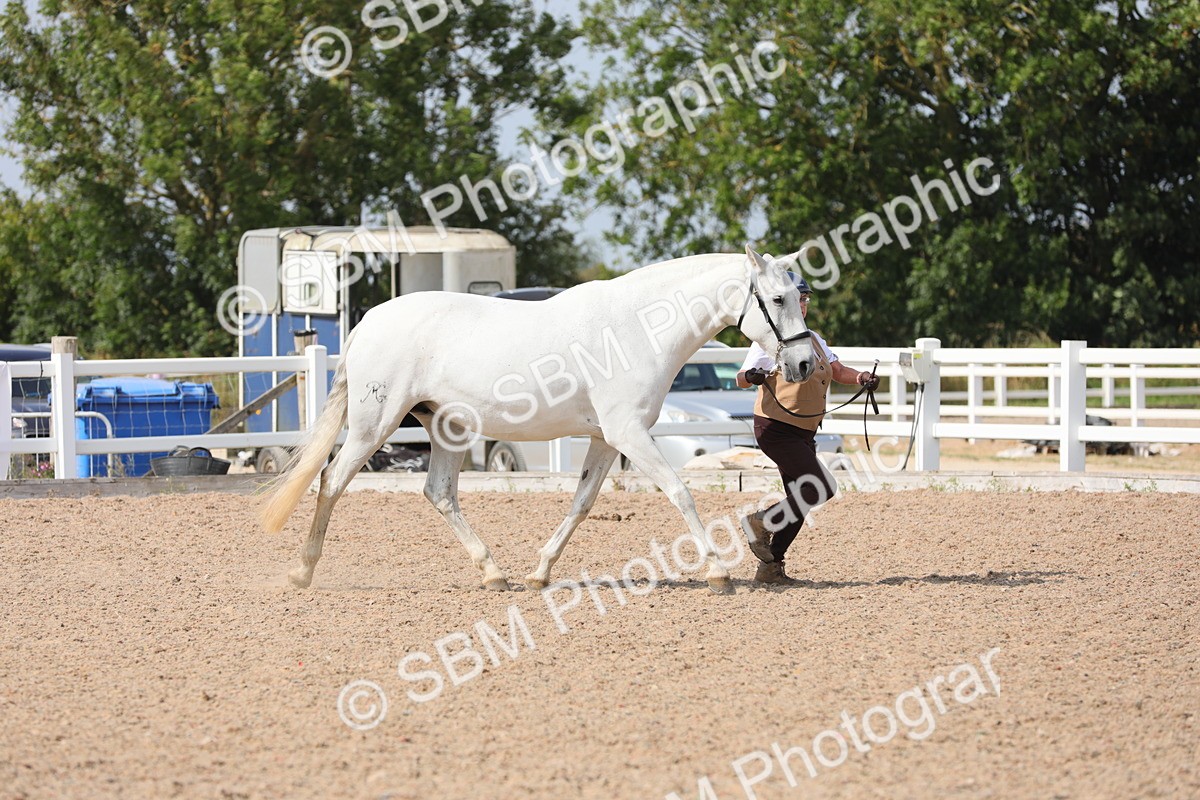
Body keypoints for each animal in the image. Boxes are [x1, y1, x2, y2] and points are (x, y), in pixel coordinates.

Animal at [260, 246, 817, 594]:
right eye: (779, 298)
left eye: (799, 295)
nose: (805, 364)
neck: (636, 328)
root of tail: (369, 321)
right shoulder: (630, 434)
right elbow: (680, 493)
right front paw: (719, 574)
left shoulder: (606, 439)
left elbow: (582, 503)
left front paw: (541, 573)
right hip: (374, 424)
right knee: (332, 480)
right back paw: (302, 572)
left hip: (448, 429)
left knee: (439, 493)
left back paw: (494, 574)